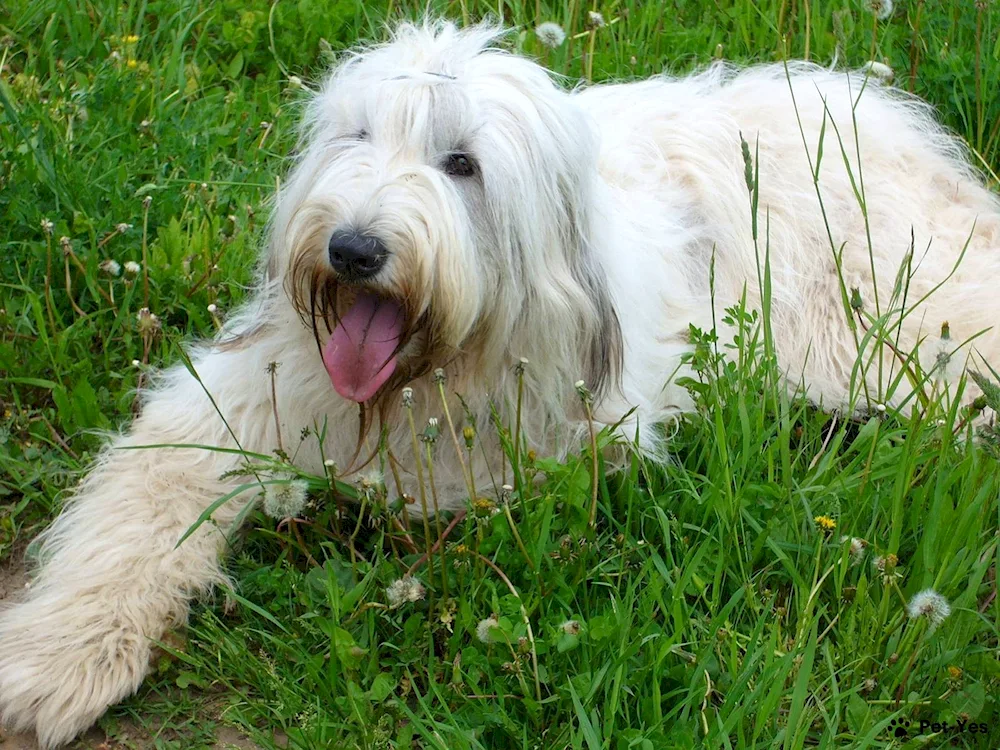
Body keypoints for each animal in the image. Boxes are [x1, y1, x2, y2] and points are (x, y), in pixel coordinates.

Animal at [1, 20, 1000, 748]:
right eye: (356, 138)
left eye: (462, 164)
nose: (353, 249)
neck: (427, 376)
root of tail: (896, 127)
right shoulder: (237, 394)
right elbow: (140, 508)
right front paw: (59, 658)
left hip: (881, 327)